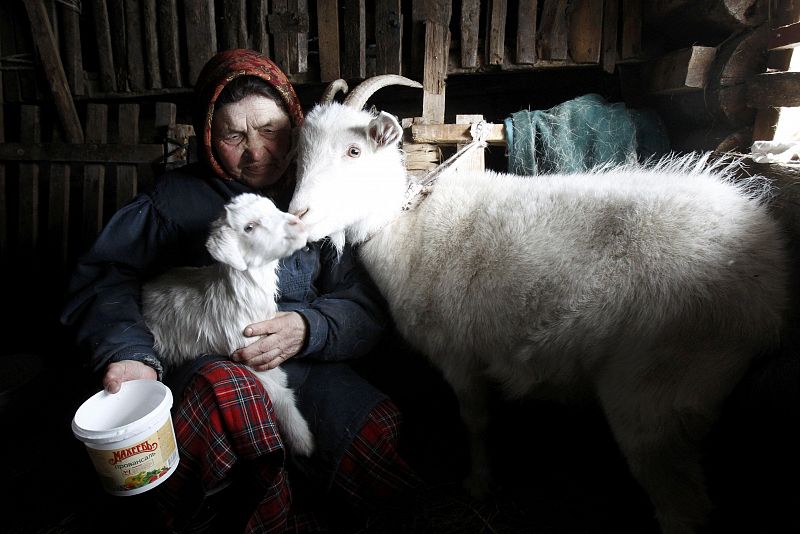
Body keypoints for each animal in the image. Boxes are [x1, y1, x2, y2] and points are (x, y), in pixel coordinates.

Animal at [144, 193, 312, 456]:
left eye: (273, 207)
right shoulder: (242, 353)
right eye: (249, 227)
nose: (298, 224)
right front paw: (302, 439)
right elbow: (278, 392)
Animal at [288, 76, 788, 534]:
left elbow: (476, 421)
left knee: (683, 508)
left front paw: (479, 482)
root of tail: (769, 282)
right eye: (301, 154)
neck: (407, 226)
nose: (297, 216)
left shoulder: (459, 355)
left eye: (354, 152)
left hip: (657, 390)